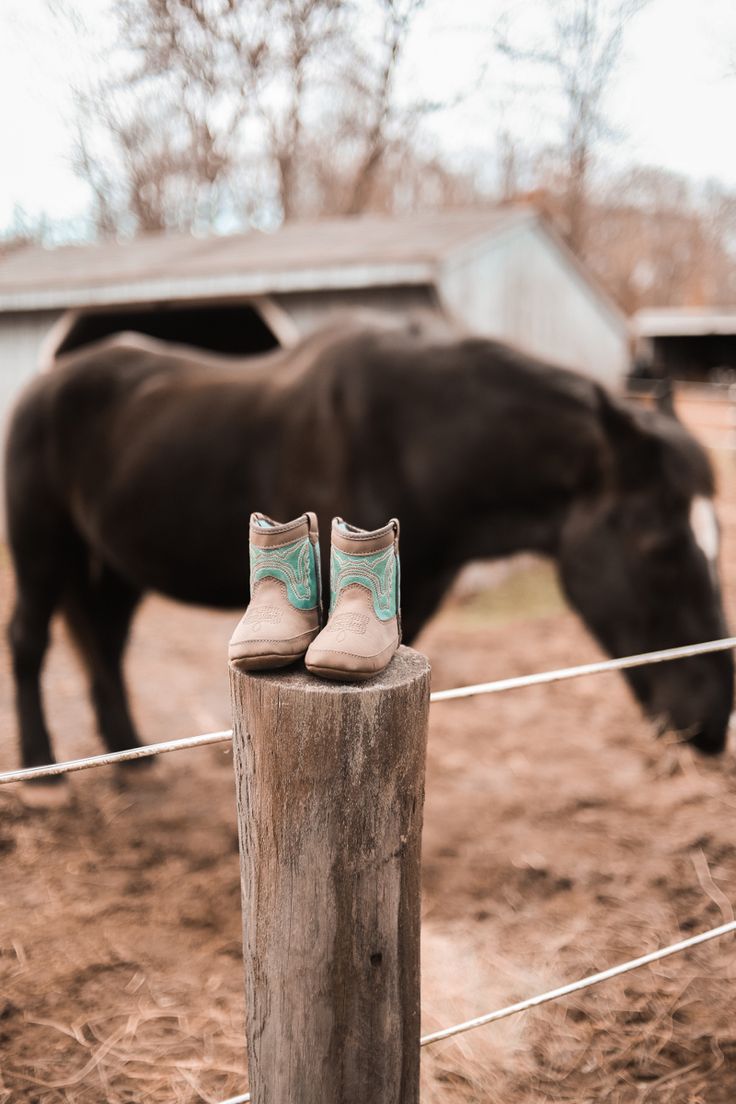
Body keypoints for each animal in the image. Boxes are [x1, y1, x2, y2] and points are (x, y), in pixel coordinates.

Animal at [2, 320, 732, 777]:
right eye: (658, 546)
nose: (712, 721)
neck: (413, 439)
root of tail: (45, 384)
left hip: (119, 565)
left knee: (103, 640)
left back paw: (133, 756)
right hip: (41, 546)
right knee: (31, 639)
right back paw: (44, 769)